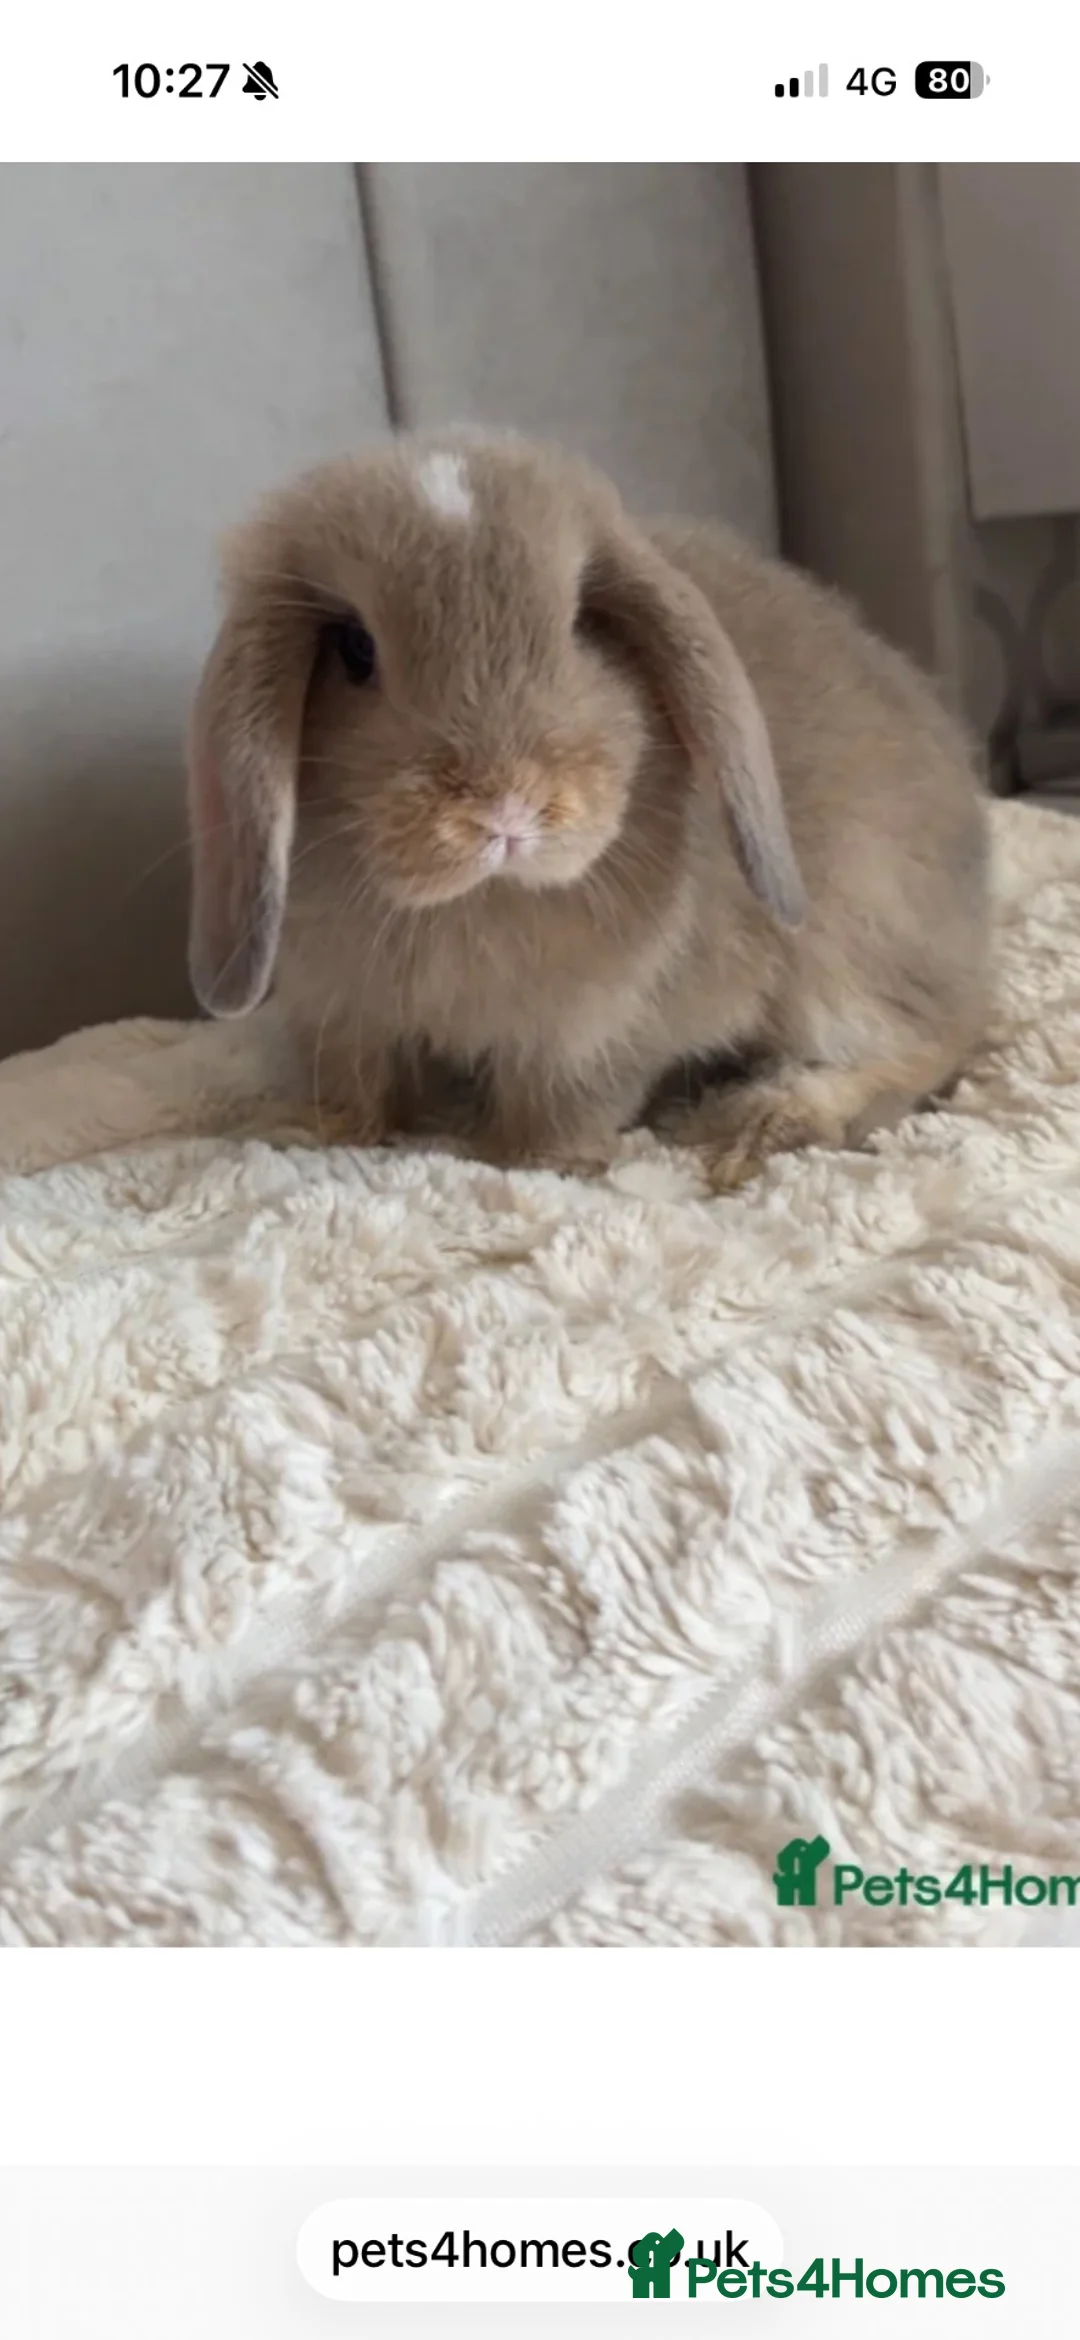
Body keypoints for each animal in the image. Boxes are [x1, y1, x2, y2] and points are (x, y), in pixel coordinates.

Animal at [187, 428, 990, 1191]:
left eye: (581, 626)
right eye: (354, 648)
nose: (505, 808)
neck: (483, 900)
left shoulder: (598, 1032)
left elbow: (562, 1102)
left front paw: (539, 1161)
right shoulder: (339, 1013)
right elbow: (353, 1085)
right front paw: (301, 1132)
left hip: (844, 950)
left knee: (930, 1038)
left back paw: (764, 1120)